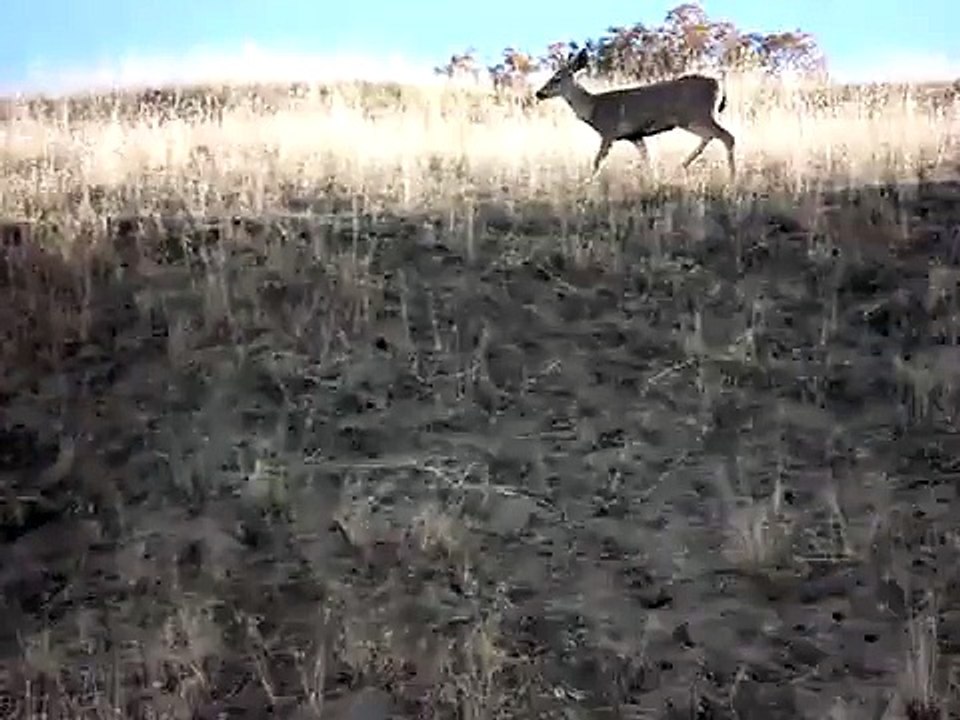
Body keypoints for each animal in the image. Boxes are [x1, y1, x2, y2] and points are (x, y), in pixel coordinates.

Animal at [534, 48, 736, 180]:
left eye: (556, 79)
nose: (539, 93)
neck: (594, 107)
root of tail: (719, 84)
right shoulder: (635, 136)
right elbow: (647, 159)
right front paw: (653, 181)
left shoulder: (609, 132)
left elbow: (597, 161)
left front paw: (588, 183)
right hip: (695, 118)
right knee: (710, 137)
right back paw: (683, 165)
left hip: (696, 115)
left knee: (727, 137)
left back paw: (731, 178)